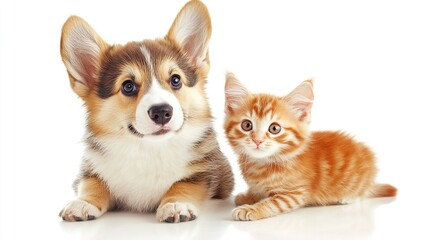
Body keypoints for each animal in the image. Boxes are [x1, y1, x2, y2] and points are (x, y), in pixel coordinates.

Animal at [58, 0, 232, 224]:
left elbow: (183, 184)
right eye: (128, 86)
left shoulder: (204, 172)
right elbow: (92, 183)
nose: (162, 112)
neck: (148, 149)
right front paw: (83, 202)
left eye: (176, 80)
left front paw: (175, 204)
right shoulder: (88, 170)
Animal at [224, 73, 394, 221]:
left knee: (361, 193)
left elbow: (273, 202)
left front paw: (251, 209)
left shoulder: (294, 193)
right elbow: (258, 192)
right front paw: (248, 196)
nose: (257, 140)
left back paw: (347, 197)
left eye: (274, 128)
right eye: (247, 125)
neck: (262, 164)